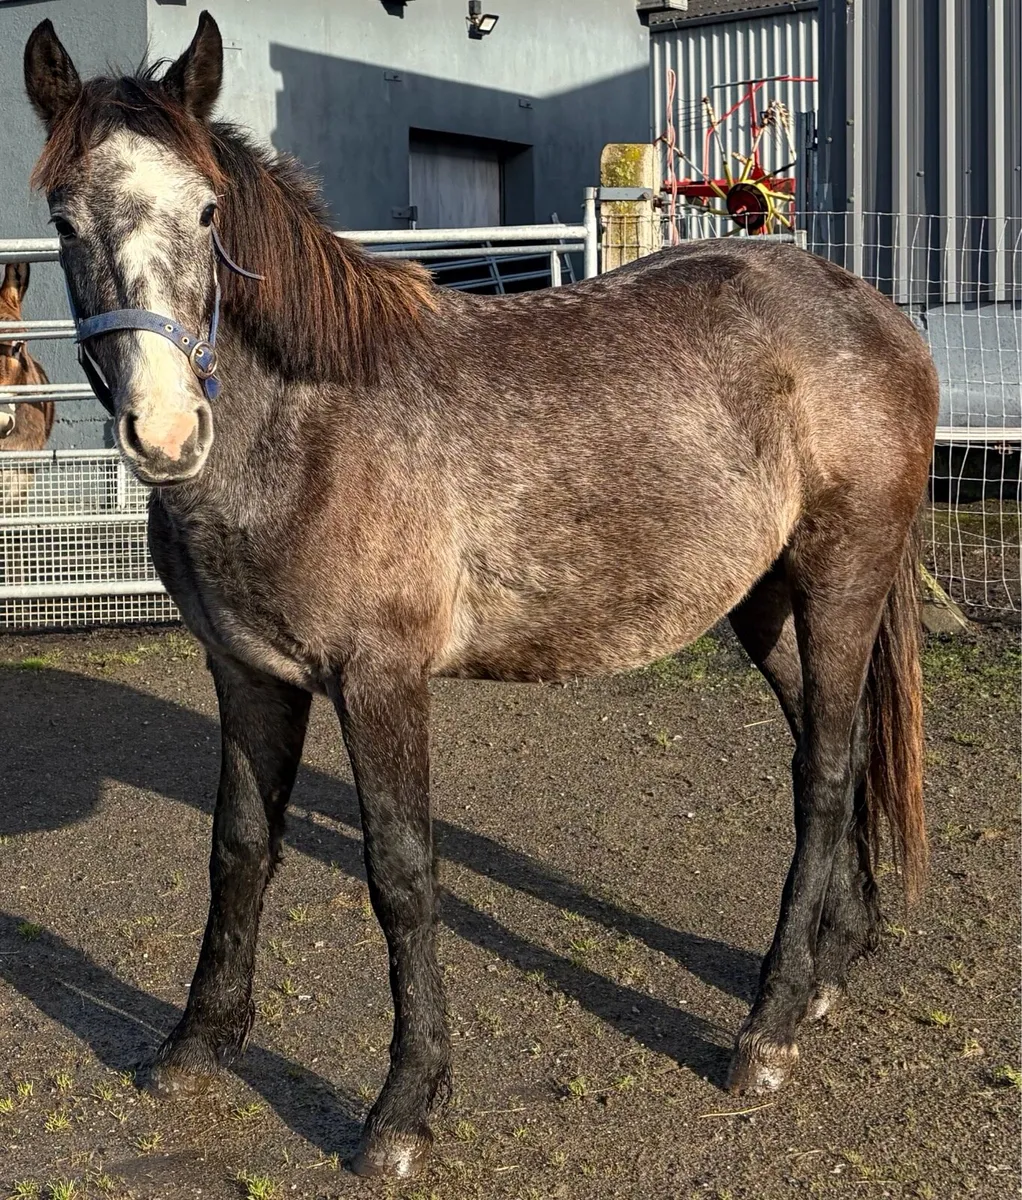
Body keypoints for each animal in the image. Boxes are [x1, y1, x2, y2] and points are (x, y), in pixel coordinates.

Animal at [24, 12, 939, 1181]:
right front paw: (196, 1047)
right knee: (843, 749)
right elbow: (237, 852)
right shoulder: (247, 674)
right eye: (64, 219)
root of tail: (873, 309)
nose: (166, 430)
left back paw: (768, 1029)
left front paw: (405, 1109)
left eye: (207, 211)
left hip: (840, 577)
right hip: (767, 605)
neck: (310, 432)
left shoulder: (381, 681)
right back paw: (832, 969)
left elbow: (403, 874)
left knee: (822, 776)